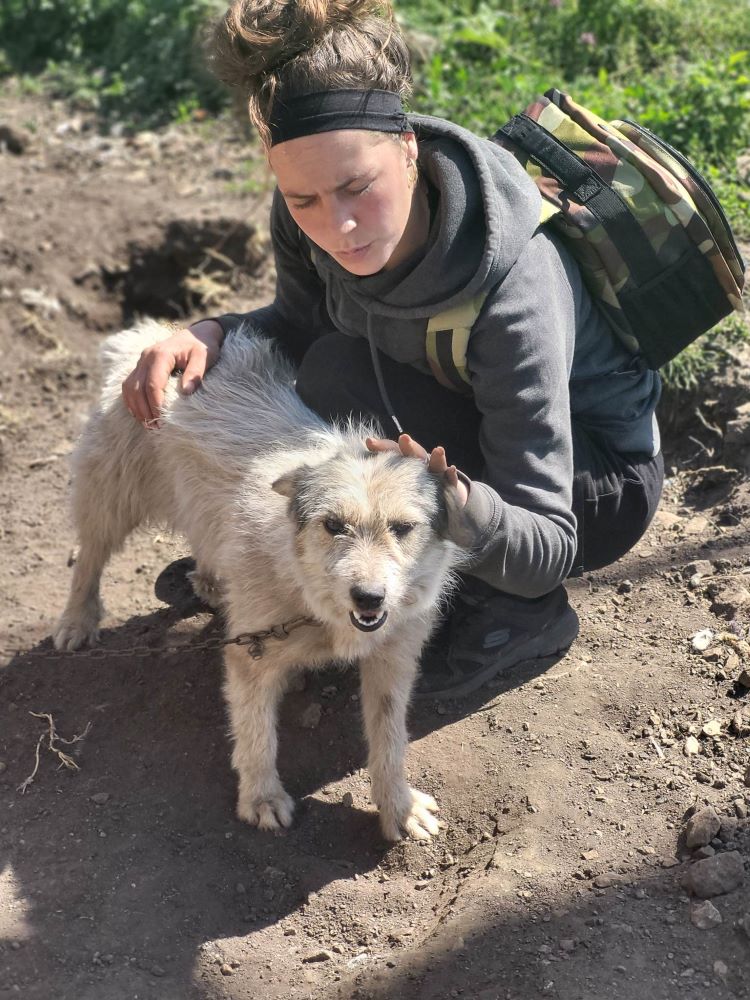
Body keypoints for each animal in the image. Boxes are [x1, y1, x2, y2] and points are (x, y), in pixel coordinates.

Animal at [55, 320, 470, 836]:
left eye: (403, 528)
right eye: (334, 525)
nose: (370, 597)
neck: (313, 600)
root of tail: (150, 334)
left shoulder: (393, 660)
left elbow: (390, 738)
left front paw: (399, 805)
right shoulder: (248, 659)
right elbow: (256, 733)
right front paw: (261, 797)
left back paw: (213, 582)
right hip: (110, 497)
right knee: (89, 556)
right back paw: (77, 619)